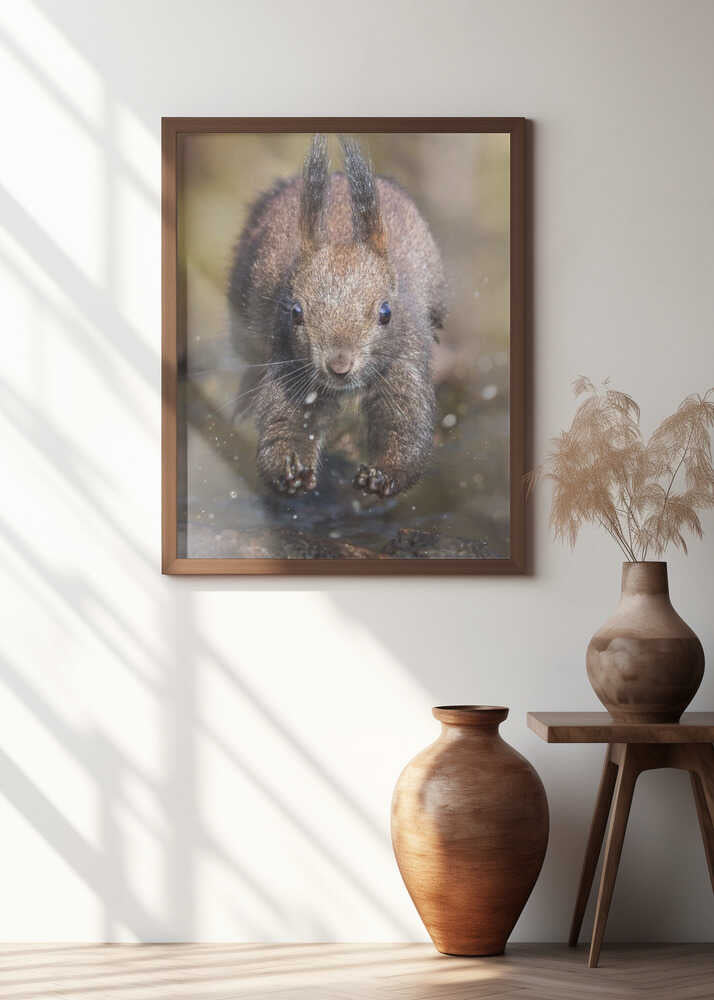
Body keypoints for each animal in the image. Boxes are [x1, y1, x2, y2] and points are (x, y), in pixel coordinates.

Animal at [228, 134, 446, 498]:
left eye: (386, 312)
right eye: (296, 312)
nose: (339, 366)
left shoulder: (404, 361)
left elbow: (406, 429)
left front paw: (382, 476)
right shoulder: (289, 365)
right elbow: (284, 423)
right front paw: (290, 472)